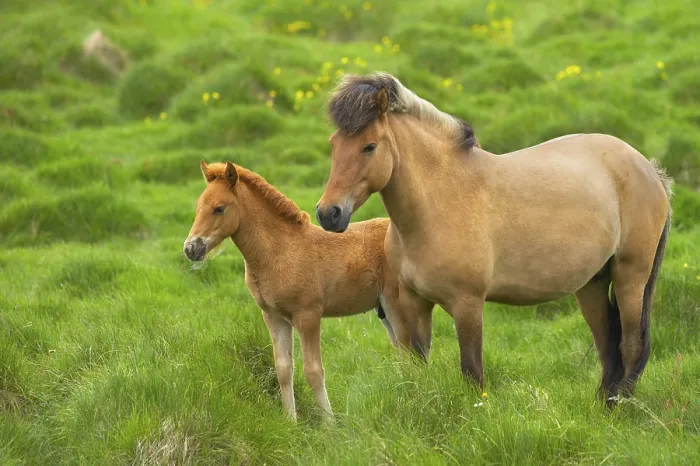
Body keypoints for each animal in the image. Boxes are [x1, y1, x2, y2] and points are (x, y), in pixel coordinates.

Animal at [183, 160, 410, 423]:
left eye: (219, 209)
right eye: (198, 206)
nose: (191, 248)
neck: (279, 251)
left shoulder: (308, 315)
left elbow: (313, 371)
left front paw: (329, 424)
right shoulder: (274, 317)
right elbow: (283, 369)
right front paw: (290, 421)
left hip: (396, 305)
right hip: (383, 311)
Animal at [315, 72, 673, 406]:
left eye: (369, 146)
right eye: (333, 144)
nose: (328, 214)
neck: (439, 201)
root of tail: (649, 169)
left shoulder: (468, 304)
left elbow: (472, 373)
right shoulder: (414, 301)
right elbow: (418, 364)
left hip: (631, 276)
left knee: (630, 346)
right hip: (592, 284)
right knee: (607, 347)